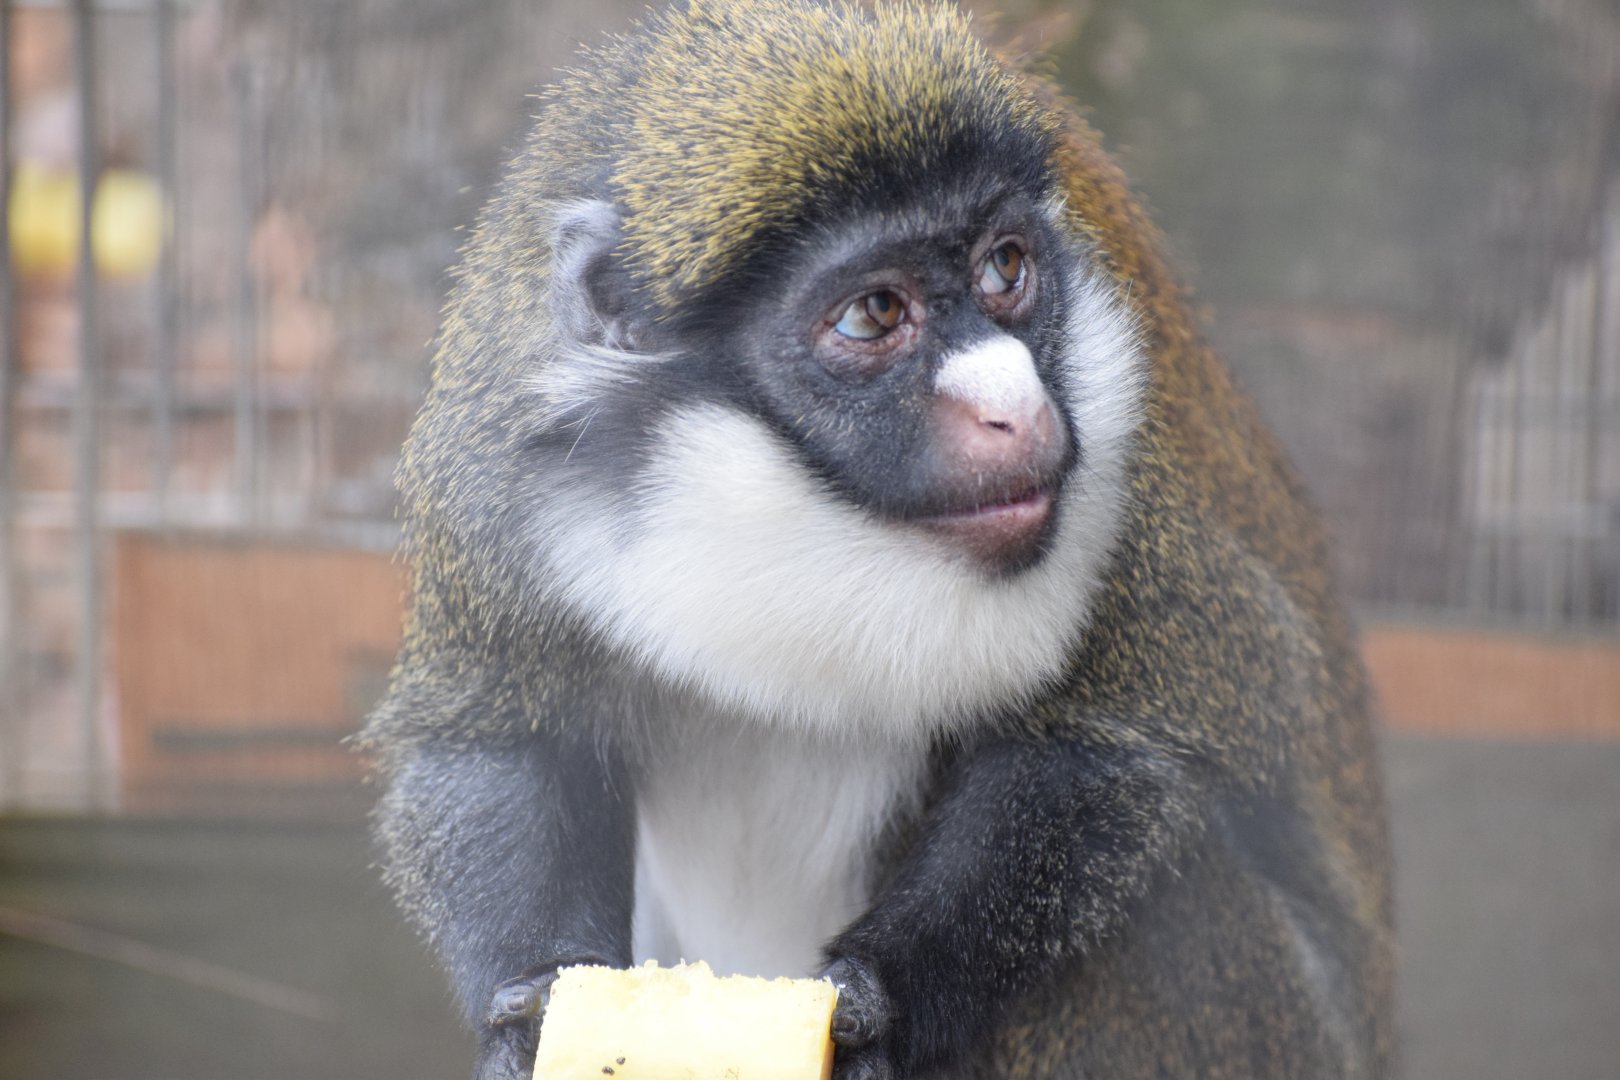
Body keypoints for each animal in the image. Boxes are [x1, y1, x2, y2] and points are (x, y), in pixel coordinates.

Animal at [360, 1, 1395, 1078]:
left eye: (1005, 266)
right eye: (873, 313)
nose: (1017, 407)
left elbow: (1118, 744)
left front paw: (881, 1001)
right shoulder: (496, 459)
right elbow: (494, 739)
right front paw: (527, 1017)